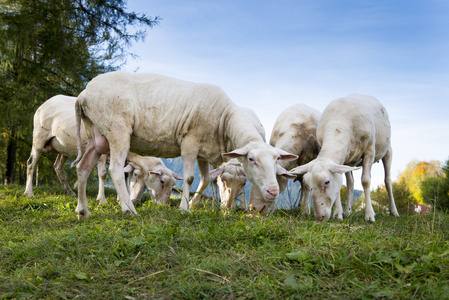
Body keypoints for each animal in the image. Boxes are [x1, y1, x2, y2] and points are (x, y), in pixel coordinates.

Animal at [72, 72, 296, 219]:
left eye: (277, 160)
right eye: (251, 159)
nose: (273, 192)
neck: (224, 119)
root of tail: (84, 95)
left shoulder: (204, 152)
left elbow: (206, 179)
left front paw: (195, 204)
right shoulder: (190, 142)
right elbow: (189, 178)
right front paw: (184, 209)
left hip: (97, 137)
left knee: (82, 167)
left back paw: (83, 211)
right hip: (117, 130)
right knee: (115, 170)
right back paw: (129, 209)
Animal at [290, 94, 400, 223]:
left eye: (326, 182)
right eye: (308, 184)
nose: (319, 218)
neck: (338, 124)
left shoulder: (369, 151)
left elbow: (366, 181)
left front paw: (369, 215)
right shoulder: (341, 160)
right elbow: (341, 184)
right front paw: (338, 214)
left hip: (387, 150)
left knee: (388, 181)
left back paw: (394, 212)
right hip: (349, 160)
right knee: (350, 183)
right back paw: (347, 211)